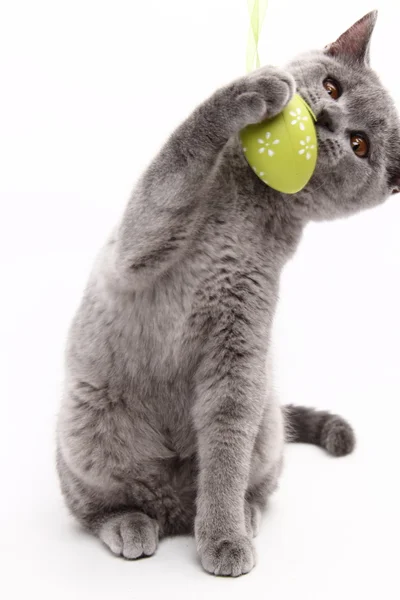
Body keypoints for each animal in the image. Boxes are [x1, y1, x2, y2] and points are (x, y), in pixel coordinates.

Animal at [56, 12, 400, 576]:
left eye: (359, 145)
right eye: (333, 86)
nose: (326, 116)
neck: (247, 207)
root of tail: (172, 506)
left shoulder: (239, 350)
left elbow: (225, 452)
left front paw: (222, 537)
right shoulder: (137, 248)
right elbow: (177, 159)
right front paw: (252, 91)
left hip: (266, 423)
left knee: (252, 479)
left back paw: (243, 516)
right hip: (88, 429)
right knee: (91, 504)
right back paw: (128, 523)